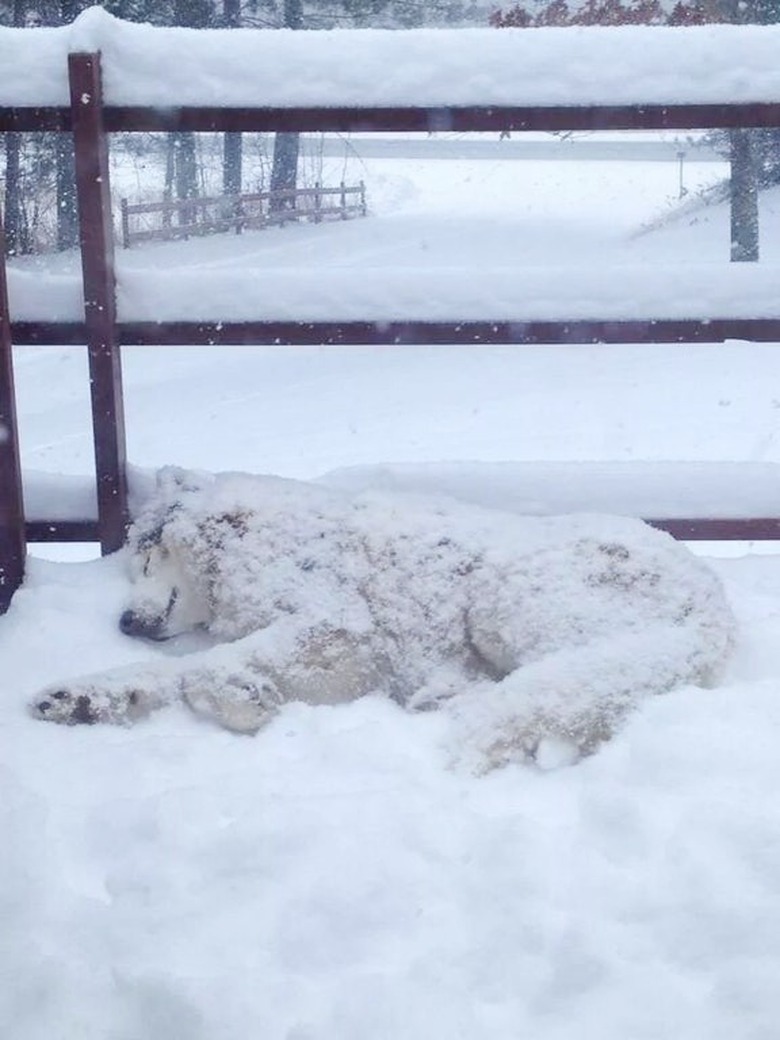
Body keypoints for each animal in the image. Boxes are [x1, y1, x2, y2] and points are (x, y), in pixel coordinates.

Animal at [32, 467, 740, 769]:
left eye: (144, 556)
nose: (124, 622)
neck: (249, 544)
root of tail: (712, 609)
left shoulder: (343, 630)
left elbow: (207, 669)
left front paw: (243, 699)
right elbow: (169, 673)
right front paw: (86, 697)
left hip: (505, 593)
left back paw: (444, 697)